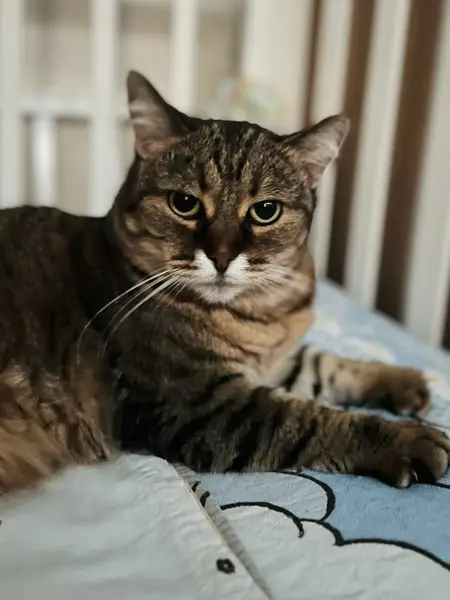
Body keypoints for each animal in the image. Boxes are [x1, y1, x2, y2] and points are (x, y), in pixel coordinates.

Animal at [0, 70, 447, 496]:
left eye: (266, 211)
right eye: (184, 203)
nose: (221, 257)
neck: (259, 312)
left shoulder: (276, 363)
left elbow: (326, 364)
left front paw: (401, 380)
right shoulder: (201, 404)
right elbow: (307, 419)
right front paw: (405, 438)